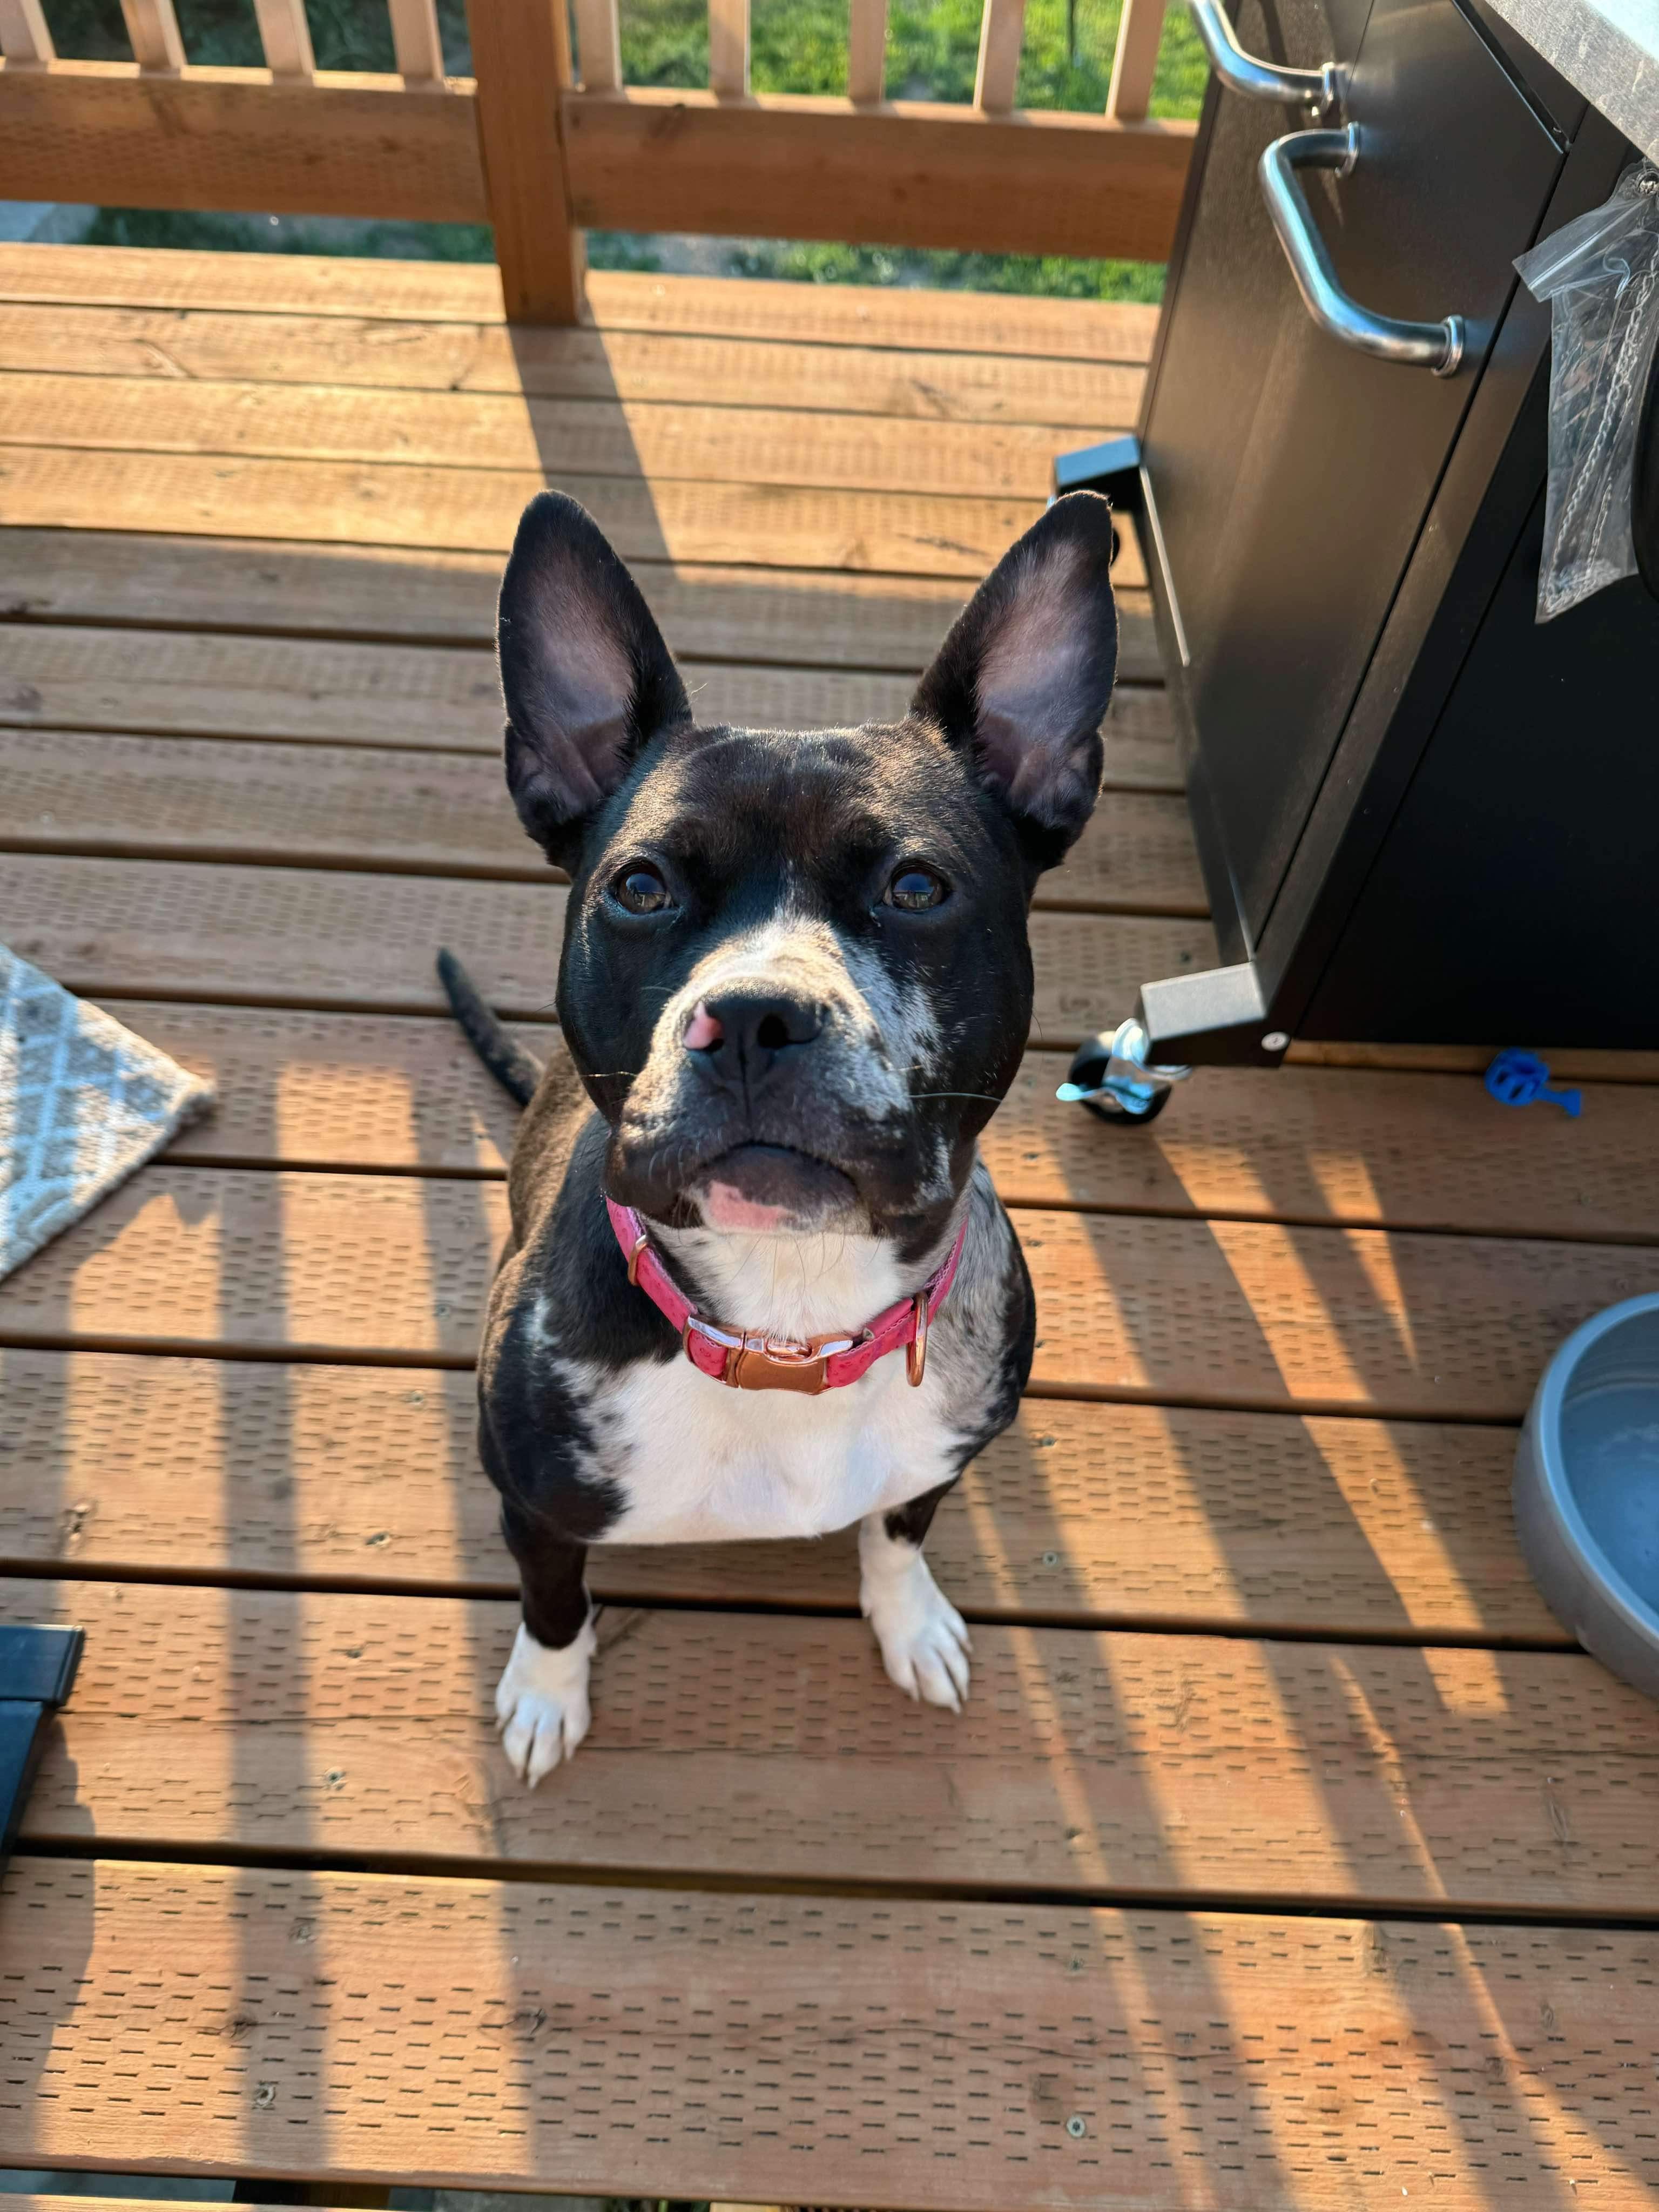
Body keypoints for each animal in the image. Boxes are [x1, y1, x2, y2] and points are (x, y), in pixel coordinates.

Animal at [442, 484, 1119, 1778]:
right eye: (640, 888)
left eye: (917, 887)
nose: (757, 1014)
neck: (788, 1310)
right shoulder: (538, 1511)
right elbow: (553, 1603)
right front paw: (548, 1692)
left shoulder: (931, 1463)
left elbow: (899, 1535)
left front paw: (911, 1622)